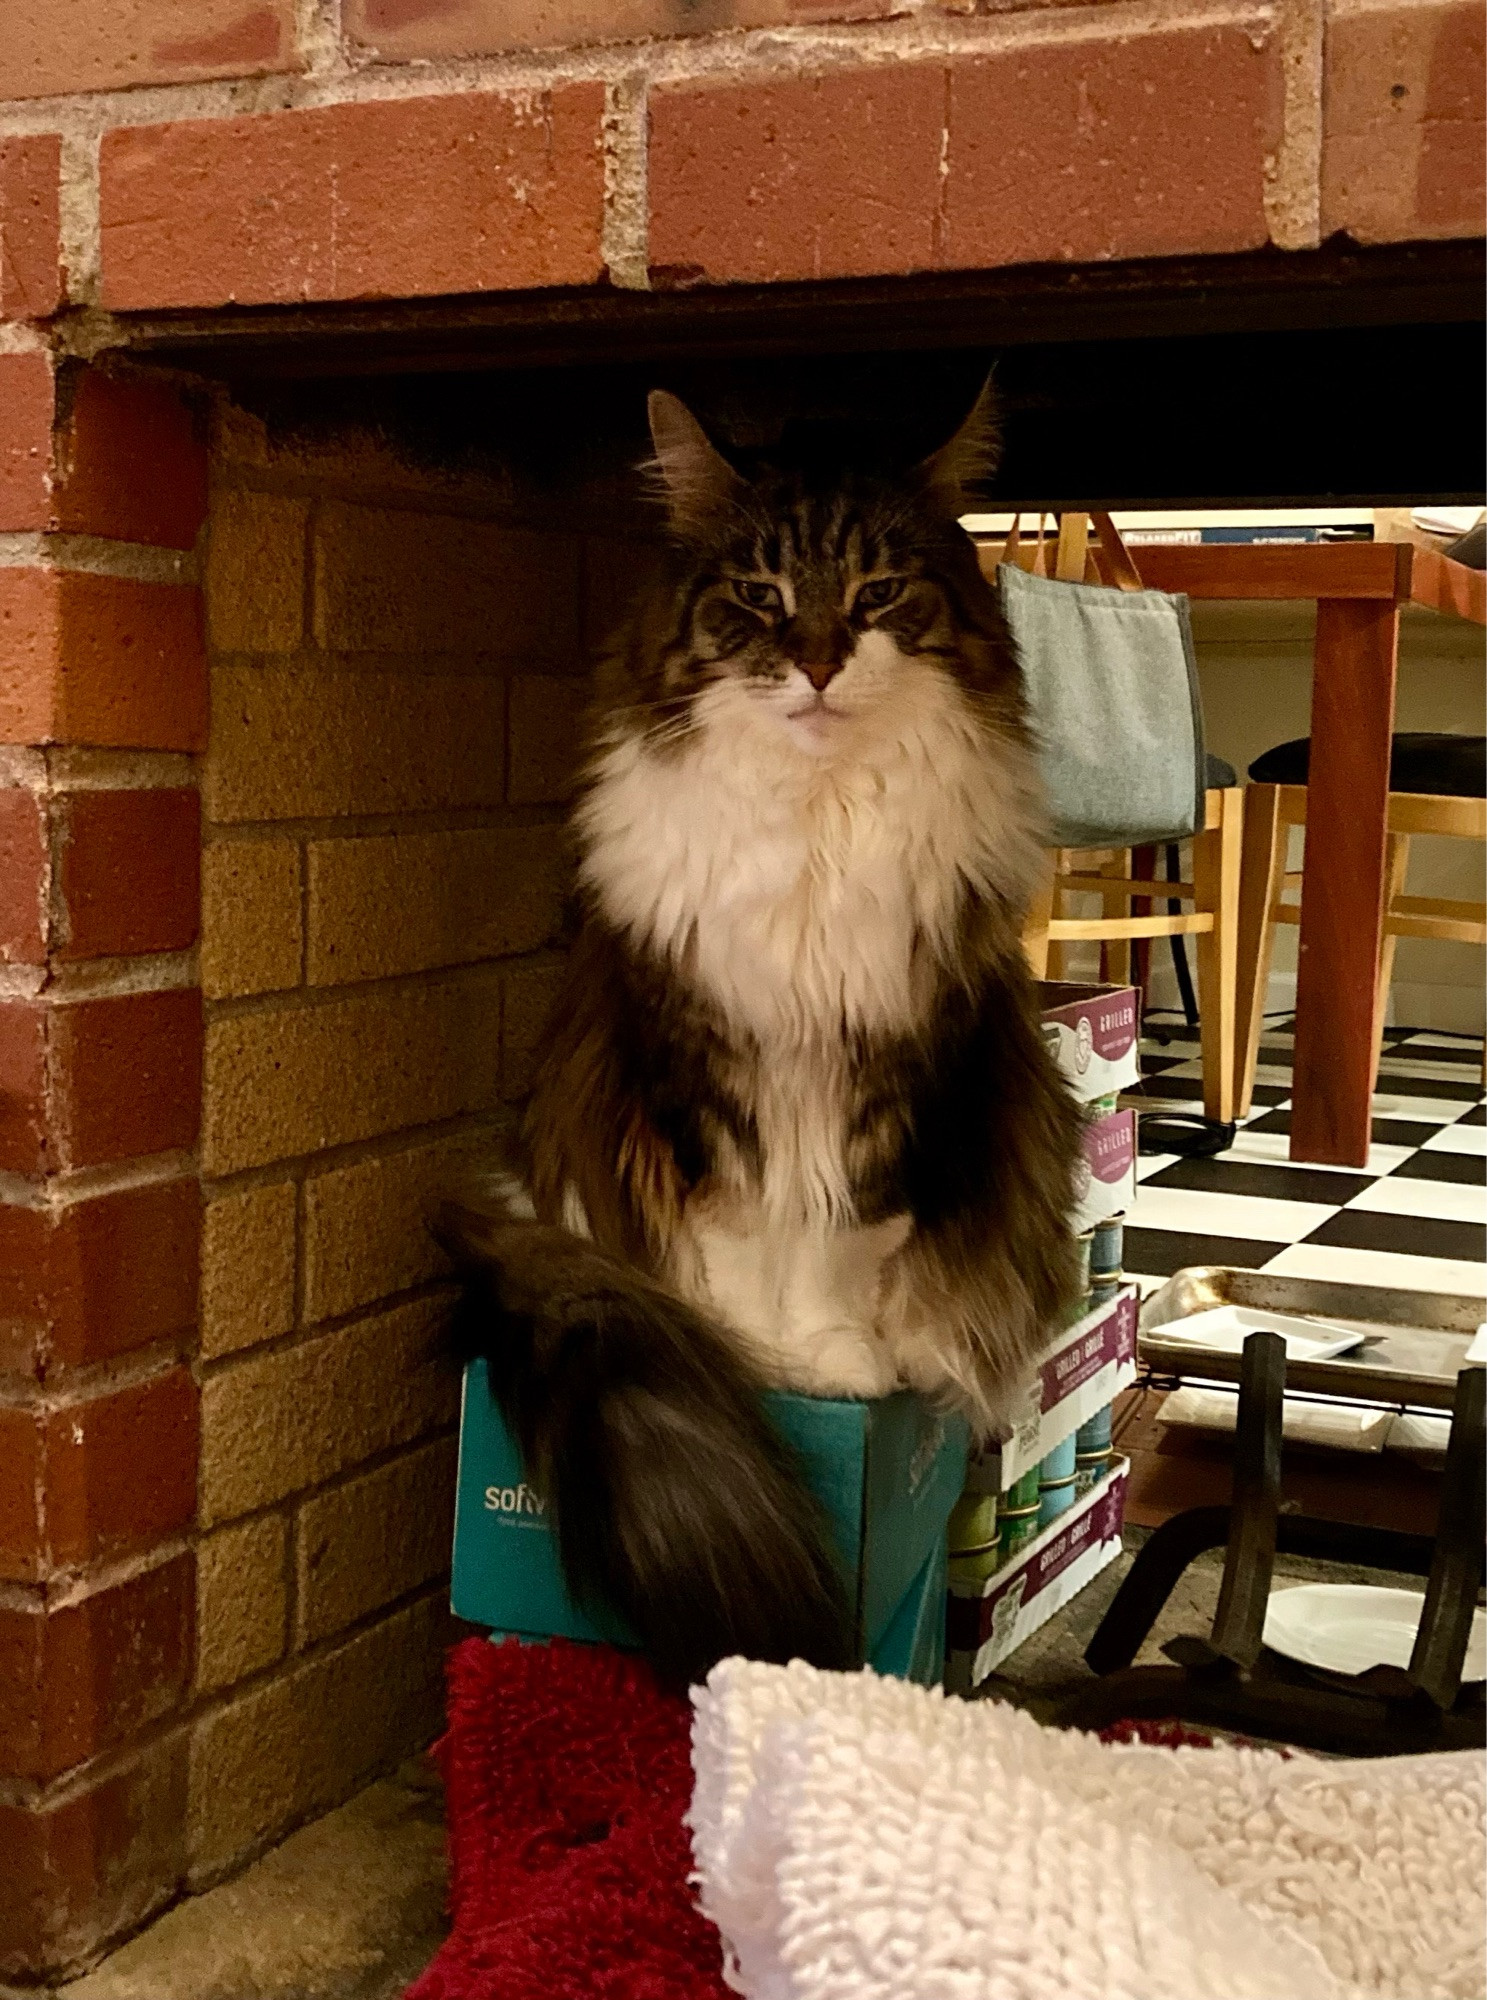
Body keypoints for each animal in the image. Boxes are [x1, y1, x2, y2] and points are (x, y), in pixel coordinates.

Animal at [441, 386, 1079, 1688]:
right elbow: (740, 1227)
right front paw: (750, 1348)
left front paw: (834, 1353)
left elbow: (845, 1239)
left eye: (879, 591)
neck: (814, 812)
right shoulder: (705, 1057)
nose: (821, 659)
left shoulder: (888, 1065)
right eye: (759, 593)